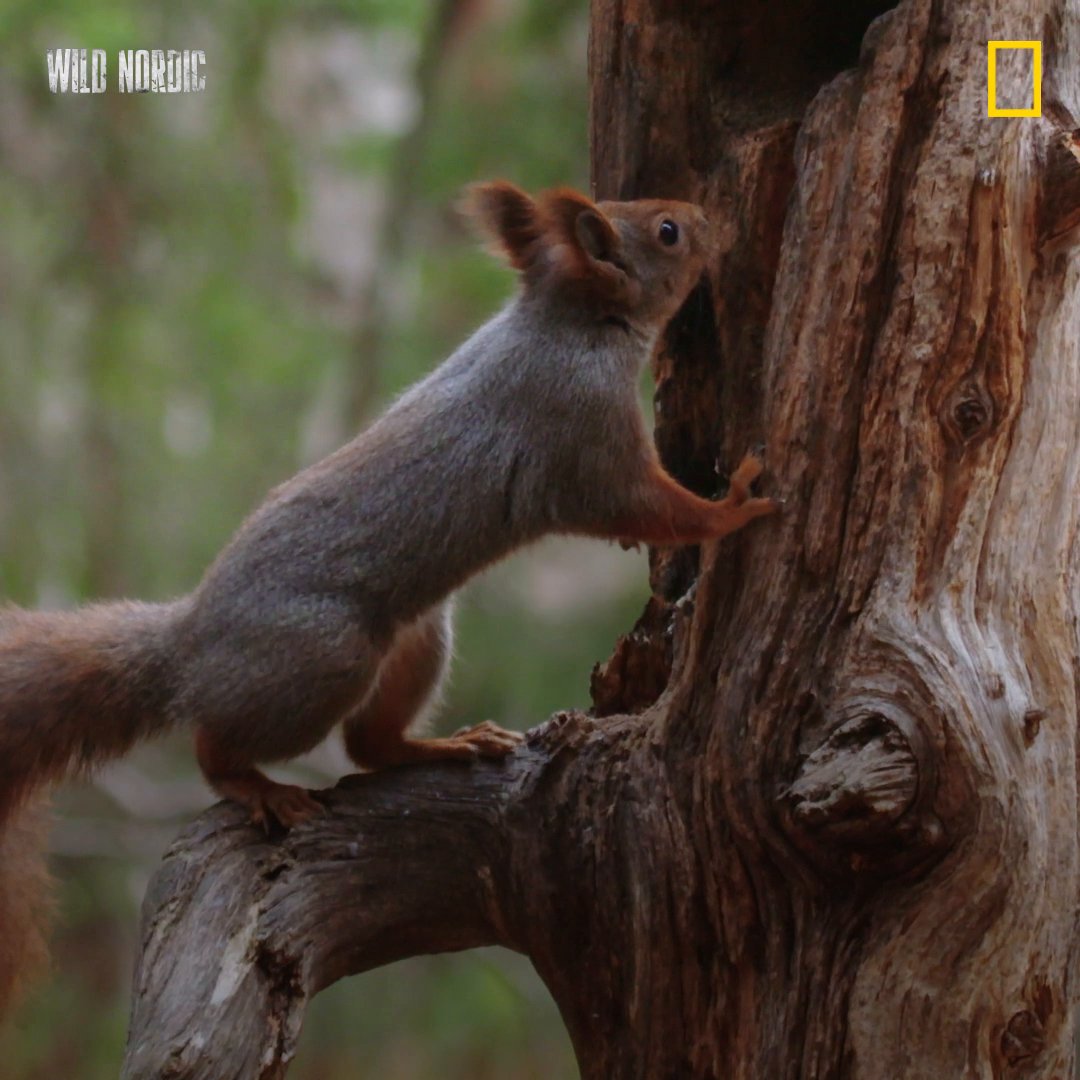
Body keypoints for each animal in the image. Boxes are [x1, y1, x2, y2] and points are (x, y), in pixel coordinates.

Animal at [0, 181, 777, 1015]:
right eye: (666, 231)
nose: (709, 218)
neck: (563, 323)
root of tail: (191, 640)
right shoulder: (580, 438)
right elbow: (646, 505)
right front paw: (733, 507)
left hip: (418, 637)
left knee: (371, 744)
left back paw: (443, 744)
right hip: (322, 663)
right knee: (218, 745)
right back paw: (256, 786)